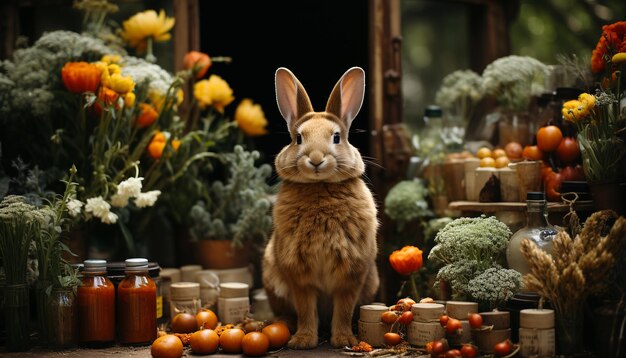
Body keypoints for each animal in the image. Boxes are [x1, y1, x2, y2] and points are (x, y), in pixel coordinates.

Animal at [260, 68, 378, 350]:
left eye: (336, 137)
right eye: (298, 138)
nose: (315, 159)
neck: (319, 186)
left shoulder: (352, 274)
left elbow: (344, 308)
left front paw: (343, 340)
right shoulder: (299, 274)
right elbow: (305, 308)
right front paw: (303, 341)